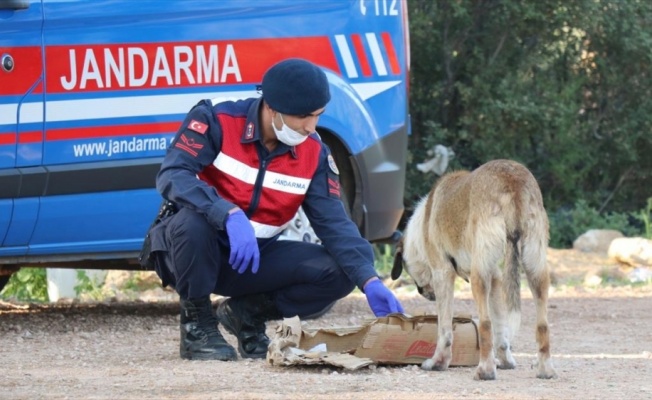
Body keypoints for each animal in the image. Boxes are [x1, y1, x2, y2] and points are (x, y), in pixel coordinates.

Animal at [390, 159, 556, 382]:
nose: (425, 294)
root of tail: (512, 179)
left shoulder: (442, 272)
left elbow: (444, 329)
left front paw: (438, 363)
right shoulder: (496, 278)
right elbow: (501, 330)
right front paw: (506, 362)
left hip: (480, 275)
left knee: (485, 323)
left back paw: (485, 371)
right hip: (535, 266)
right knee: (542, 325)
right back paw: (545, 370)